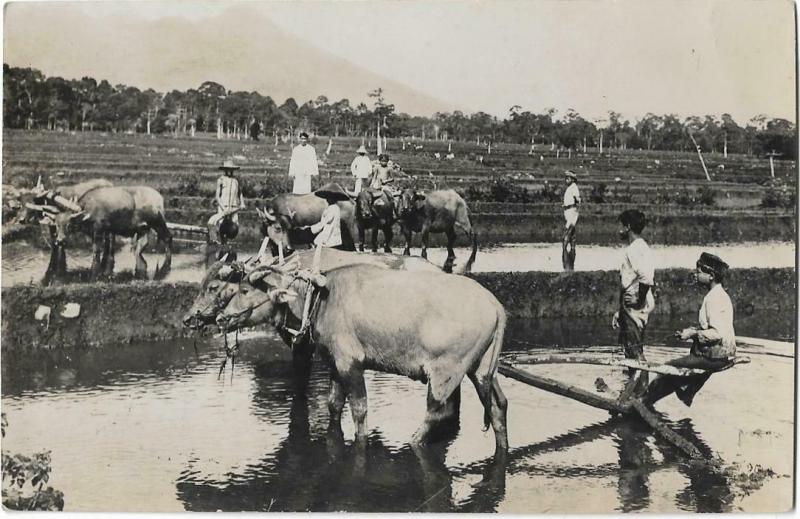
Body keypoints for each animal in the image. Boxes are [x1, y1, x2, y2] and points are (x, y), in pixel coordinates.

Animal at [216, 262, 510, 452]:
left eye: (244, 291)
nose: (220, 318)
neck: (321, 299)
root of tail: (494, 305)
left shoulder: (350, 363)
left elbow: (359, 410)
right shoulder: (335, 363)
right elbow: (334, 404)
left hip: (446, 373)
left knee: (437, 412)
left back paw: (414, 441)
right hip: (482, 369)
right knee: (499, 406)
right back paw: (503, 446)